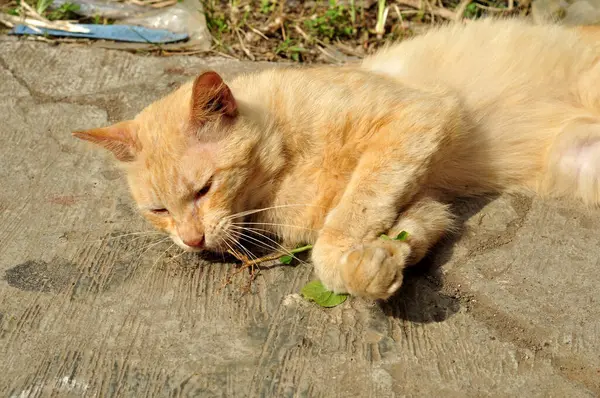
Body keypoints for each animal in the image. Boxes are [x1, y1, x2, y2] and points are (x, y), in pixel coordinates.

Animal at [74, 17, 600, 298]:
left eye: (204, 189)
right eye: (158, 210)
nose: (192, 241)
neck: (280, 176)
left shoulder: (416, 118)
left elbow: (345, 220)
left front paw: (344, 258)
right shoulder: (427, 198)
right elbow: (405, 230)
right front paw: (377, 266)